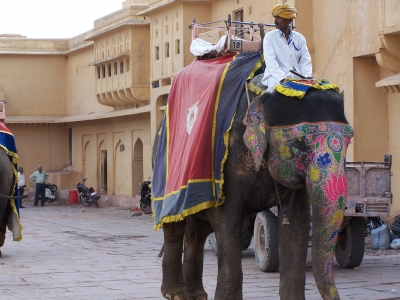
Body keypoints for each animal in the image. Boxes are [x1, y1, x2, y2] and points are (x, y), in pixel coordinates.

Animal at [155, 77, 354, 298]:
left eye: (349, 141)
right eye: (300, 143)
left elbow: (297, 224)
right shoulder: (227, 165)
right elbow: (228, 222)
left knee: (196, 232)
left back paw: (197, 295)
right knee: (175, 227)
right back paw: (175, 294)